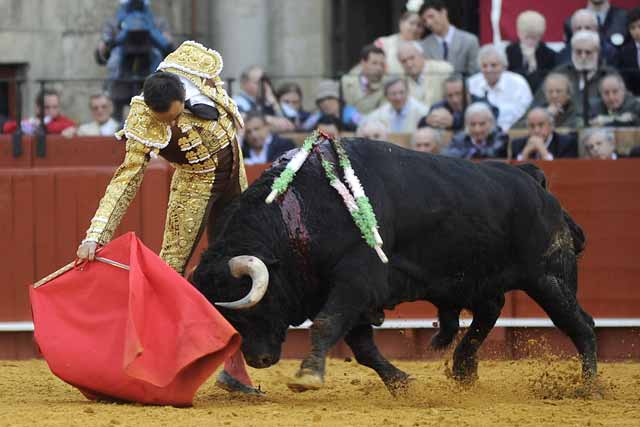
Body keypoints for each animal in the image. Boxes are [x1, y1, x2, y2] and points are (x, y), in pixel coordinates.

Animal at [192, 140, 596, 394]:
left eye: (249, 307)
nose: (258, 360)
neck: (302, 214)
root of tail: (532, 178)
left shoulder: (356, 281)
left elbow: (326, 325)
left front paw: (307, 376)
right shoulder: (346, 295)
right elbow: (362, 348)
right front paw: (404, 384)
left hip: (547, 277)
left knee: (580, 325)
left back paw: (588, 388)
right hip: (479, 278)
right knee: (489, 312)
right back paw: (463, 369)